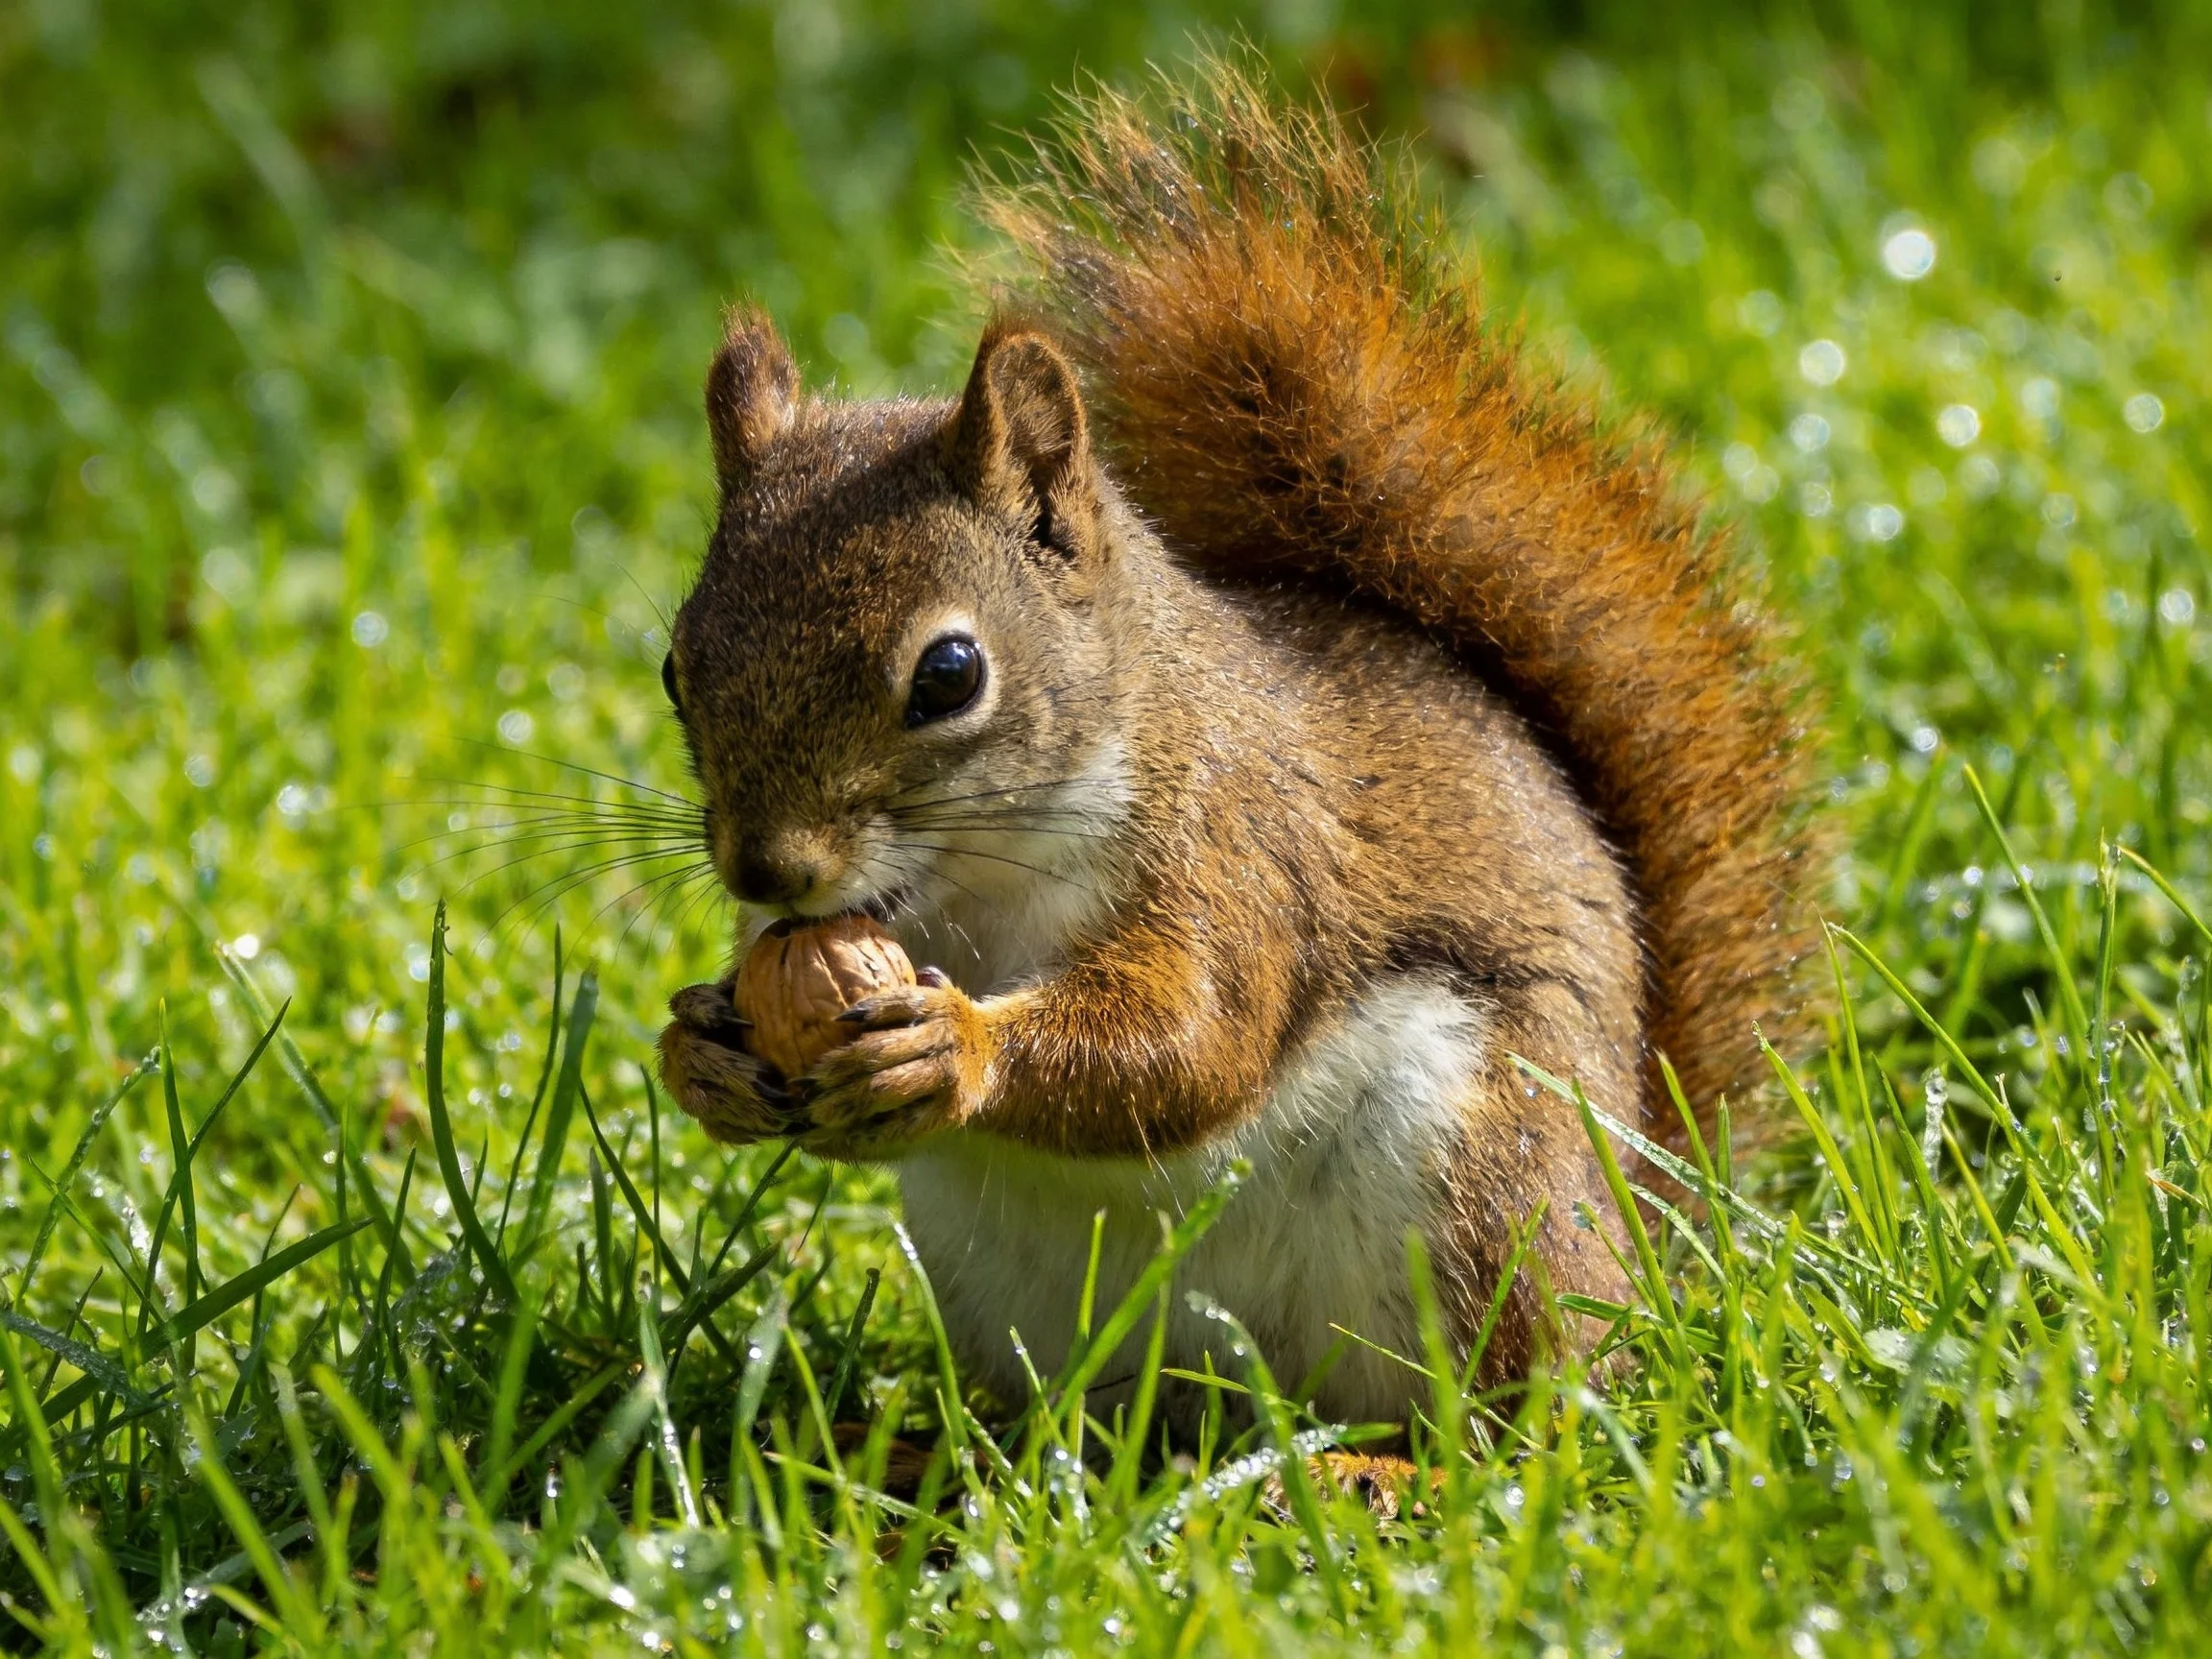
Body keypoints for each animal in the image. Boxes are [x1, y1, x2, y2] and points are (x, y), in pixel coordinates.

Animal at [656, 63, 1817, 1430]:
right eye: (675, 668)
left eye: (950, 675)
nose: (769, 871)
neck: (973, 879)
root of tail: (1640, 1220)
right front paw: (699, 1050)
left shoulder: (1239, 853)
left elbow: (1190, 1043)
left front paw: (961, 1049)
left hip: (1487, 1183)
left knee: (1507, 1415)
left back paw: (1379, 1458)